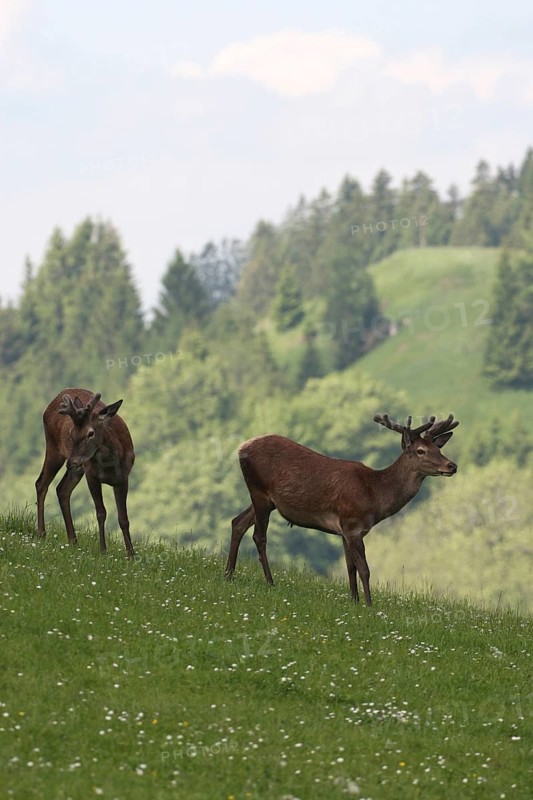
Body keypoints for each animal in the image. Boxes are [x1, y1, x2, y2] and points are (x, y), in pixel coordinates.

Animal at [35, 388, 135, 557]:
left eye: (90, 433)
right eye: (71, 432)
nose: (71, 462)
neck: (109, 463)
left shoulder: (123, 478)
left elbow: (123, 519)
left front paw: (131, 554)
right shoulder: (91, 475)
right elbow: (101, 513)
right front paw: (103, 550)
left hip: (75, 468)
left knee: (62, 489)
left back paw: (73, 540)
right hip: (54, 448)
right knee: (41, 483)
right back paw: (42, 534)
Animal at [225, 413, 459, 605]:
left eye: (438, 448)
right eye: (420, 451)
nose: (452, 466)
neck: (375, 495)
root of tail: (241, 447)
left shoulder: (345, 530)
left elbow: (350, 567)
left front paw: (354, 600)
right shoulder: (353, 524)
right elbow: (364, 569)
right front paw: (369, 605)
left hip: (266, 500)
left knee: (238, 522)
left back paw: (228, 574)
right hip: (259, 491)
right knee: (259, 536)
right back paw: (269, 581)